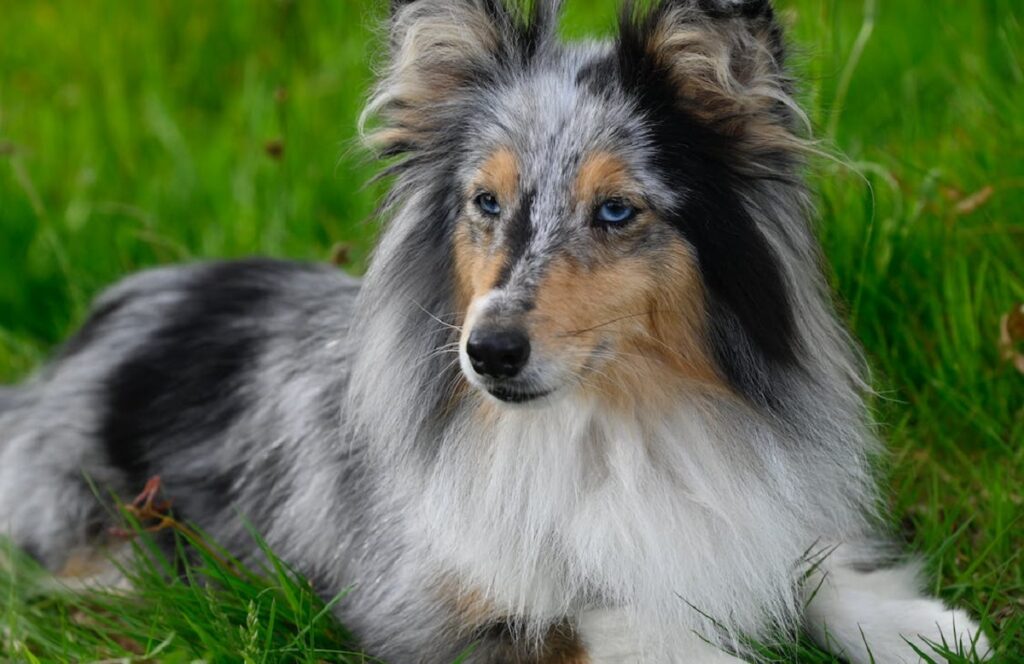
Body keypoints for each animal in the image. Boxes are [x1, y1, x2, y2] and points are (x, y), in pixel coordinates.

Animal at [0, 1, 991, 664]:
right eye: (485, 201)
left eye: (616, 210)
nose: (487, 354)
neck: (613, 425)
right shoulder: (436, 608)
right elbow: (615, 622)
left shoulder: (742, 515)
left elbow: (815, 570)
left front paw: (930, 629)